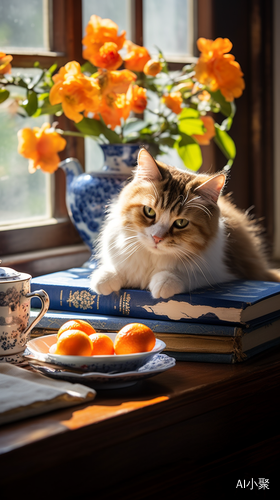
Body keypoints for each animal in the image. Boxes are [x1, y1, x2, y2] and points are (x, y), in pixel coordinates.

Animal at [90, 146, 280, 298]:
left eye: (181, 223)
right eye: (149, 212)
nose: (157, 238)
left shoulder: (221, 271)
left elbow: (185, 275)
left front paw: (164, 282)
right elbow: (110, 274)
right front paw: (106, 278)